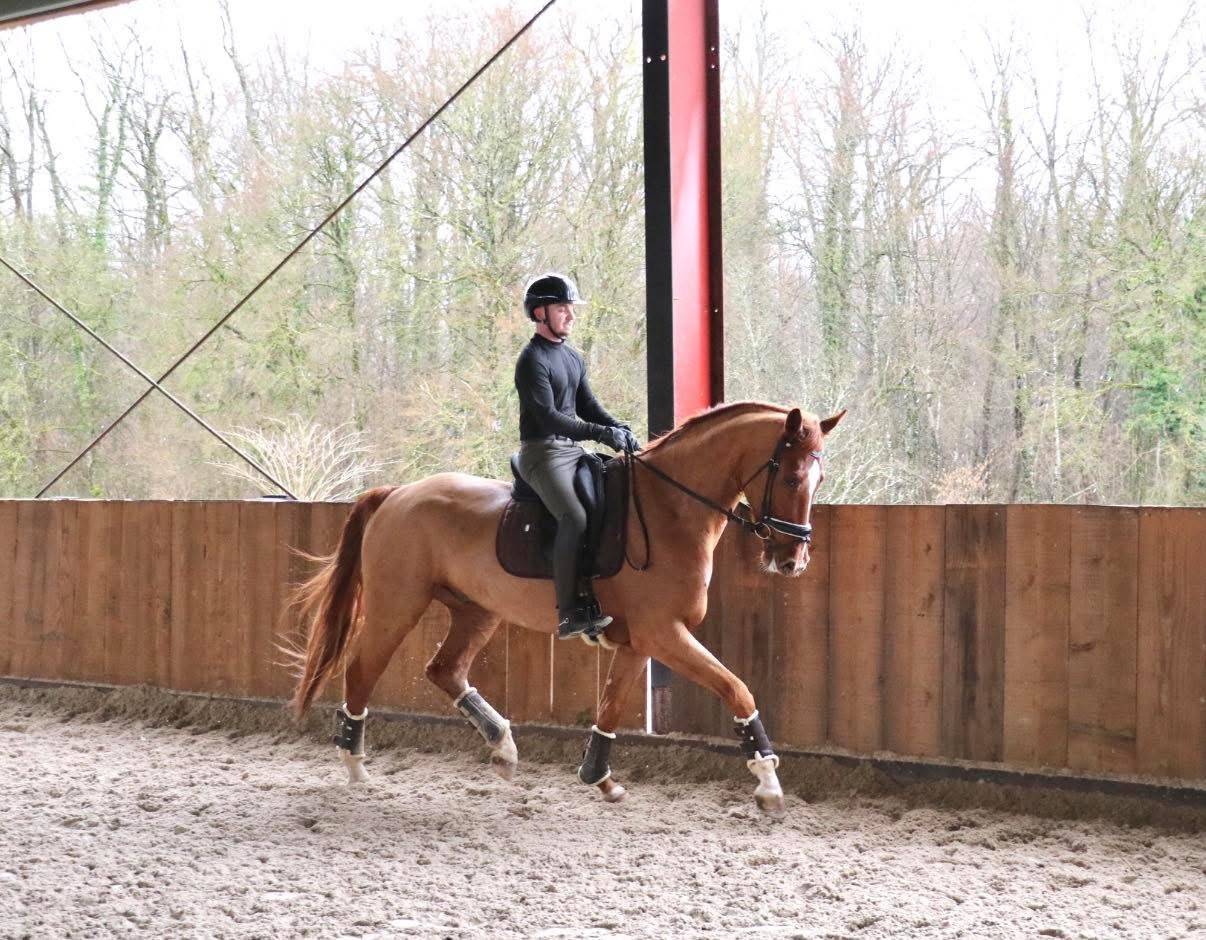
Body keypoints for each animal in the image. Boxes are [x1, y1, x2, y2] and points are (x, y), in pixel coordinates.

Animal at [289, 401, 844, 814]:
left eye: (817, 482)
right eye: (792, 479)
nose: (792, 560)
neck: (670, 509)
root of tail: (397, 494)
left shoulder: (641, 640)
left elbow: (611, 706)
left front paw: (599, 778)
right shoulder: (665, 634)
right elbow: (737, 688)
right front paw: (768, 782)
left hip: (476, 610)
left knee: (445, 669)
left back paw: (503, 747)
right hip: (395, 607)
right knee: (361, 670)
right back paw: (356, 765)